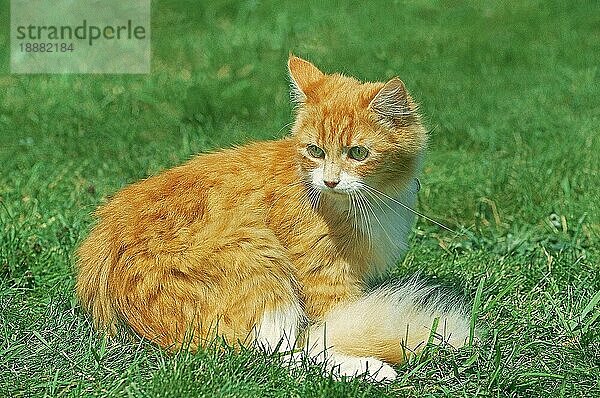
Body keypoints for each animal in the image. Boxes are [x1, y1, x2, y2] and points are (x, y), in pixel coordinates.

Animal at [75, 54, 472, 380]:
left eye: (357, 153)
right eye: (315, 151)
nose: (330, 181)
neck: (368, 199)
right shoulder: (324, 276)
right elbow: (326, 328)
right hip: (258, 259)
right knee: (276, 355)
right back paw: (370, 369)